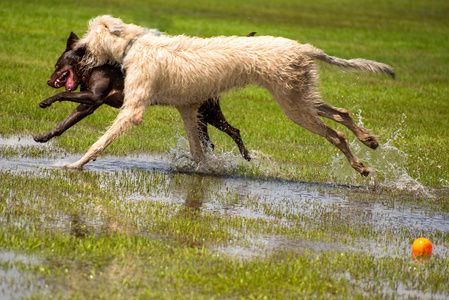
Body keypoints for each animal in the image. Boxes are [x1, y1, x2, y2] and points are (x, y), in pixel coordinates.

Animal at [68, 15, 394, 176]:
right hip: (299, 94)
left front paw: (76, 164)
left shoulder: (134, 108)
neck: (135, 44)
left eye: (89, 36)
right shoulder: (189, 109)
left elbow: (104, 138)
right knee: (341, 113)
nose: (77, 52)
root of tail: (305, 48)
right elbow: (197, 149)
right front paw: (202, 169)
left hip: (293, 104)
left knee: (336, 134)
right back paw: (367, 139)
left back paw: (360, 165)